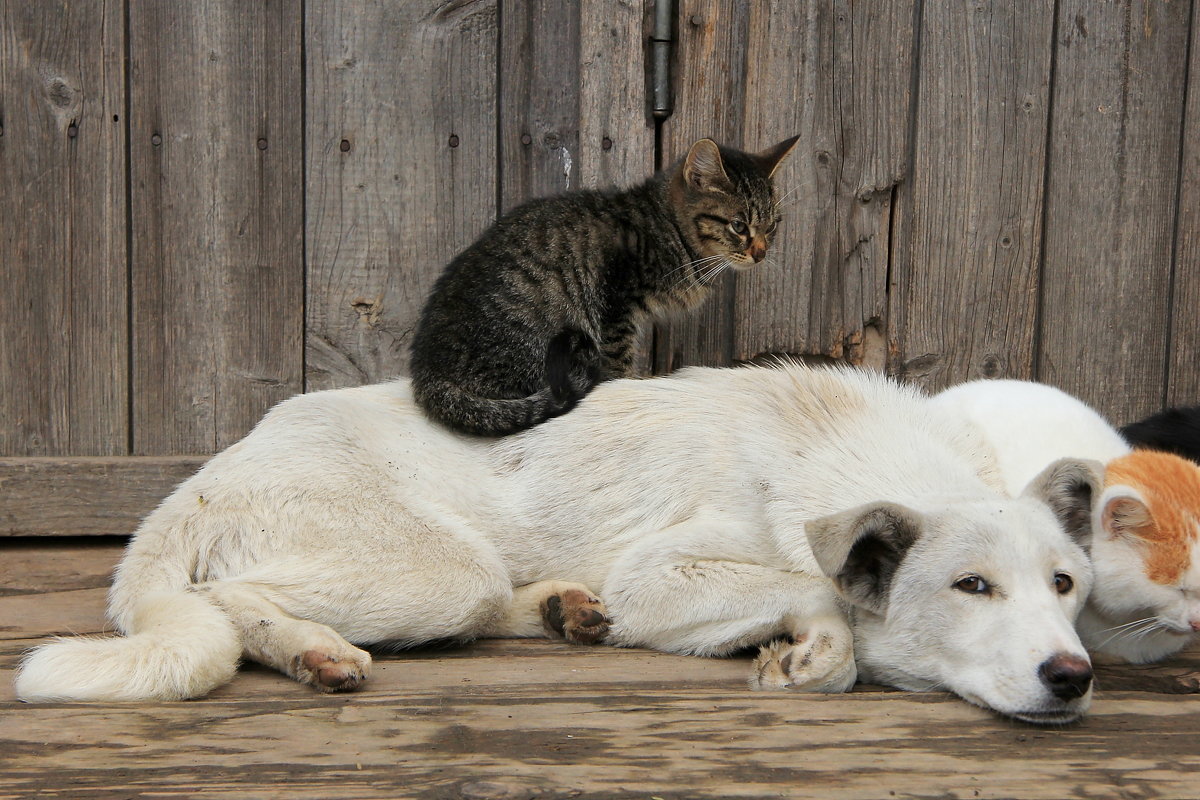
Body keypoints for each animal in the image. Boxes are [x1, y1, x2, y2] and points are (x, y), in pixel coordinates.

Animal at [21, 367, 1104, 724]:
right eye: (971, 586)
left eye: (1065, 584)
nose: (1074, 676)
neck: (837, 444)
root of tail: (198, 479)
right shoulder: (661, 575)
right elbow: (819, 593)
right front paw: (813, 653)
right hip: (437, 570)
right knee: (230, 599)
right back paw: (312, 650)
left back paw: (564, 610)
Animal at [410, 137, 796, 438]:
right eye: (738, 225)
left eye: (773, 226)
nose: (761, 253)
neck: (668, 230)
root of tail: (426, 372)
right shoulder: (616, 304)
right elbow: (618, 361)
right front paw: (628, 387)